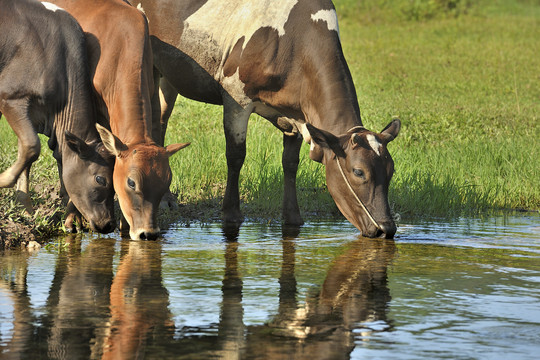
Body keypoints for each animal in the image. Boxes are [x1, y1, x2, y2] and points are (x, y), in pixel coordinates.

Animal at [131, 1, 400, 240]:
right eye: (358, 172)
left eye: (391, 170)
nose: (386, 229)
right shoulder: (236, 97)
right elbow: (236, 155)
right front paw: (231, 213)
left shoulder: (296, 114)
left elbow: (290, 162)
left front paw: (292, 216)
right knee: (154, 120)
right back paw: (165, 198)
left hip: (169, 75)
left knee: (161, 121)